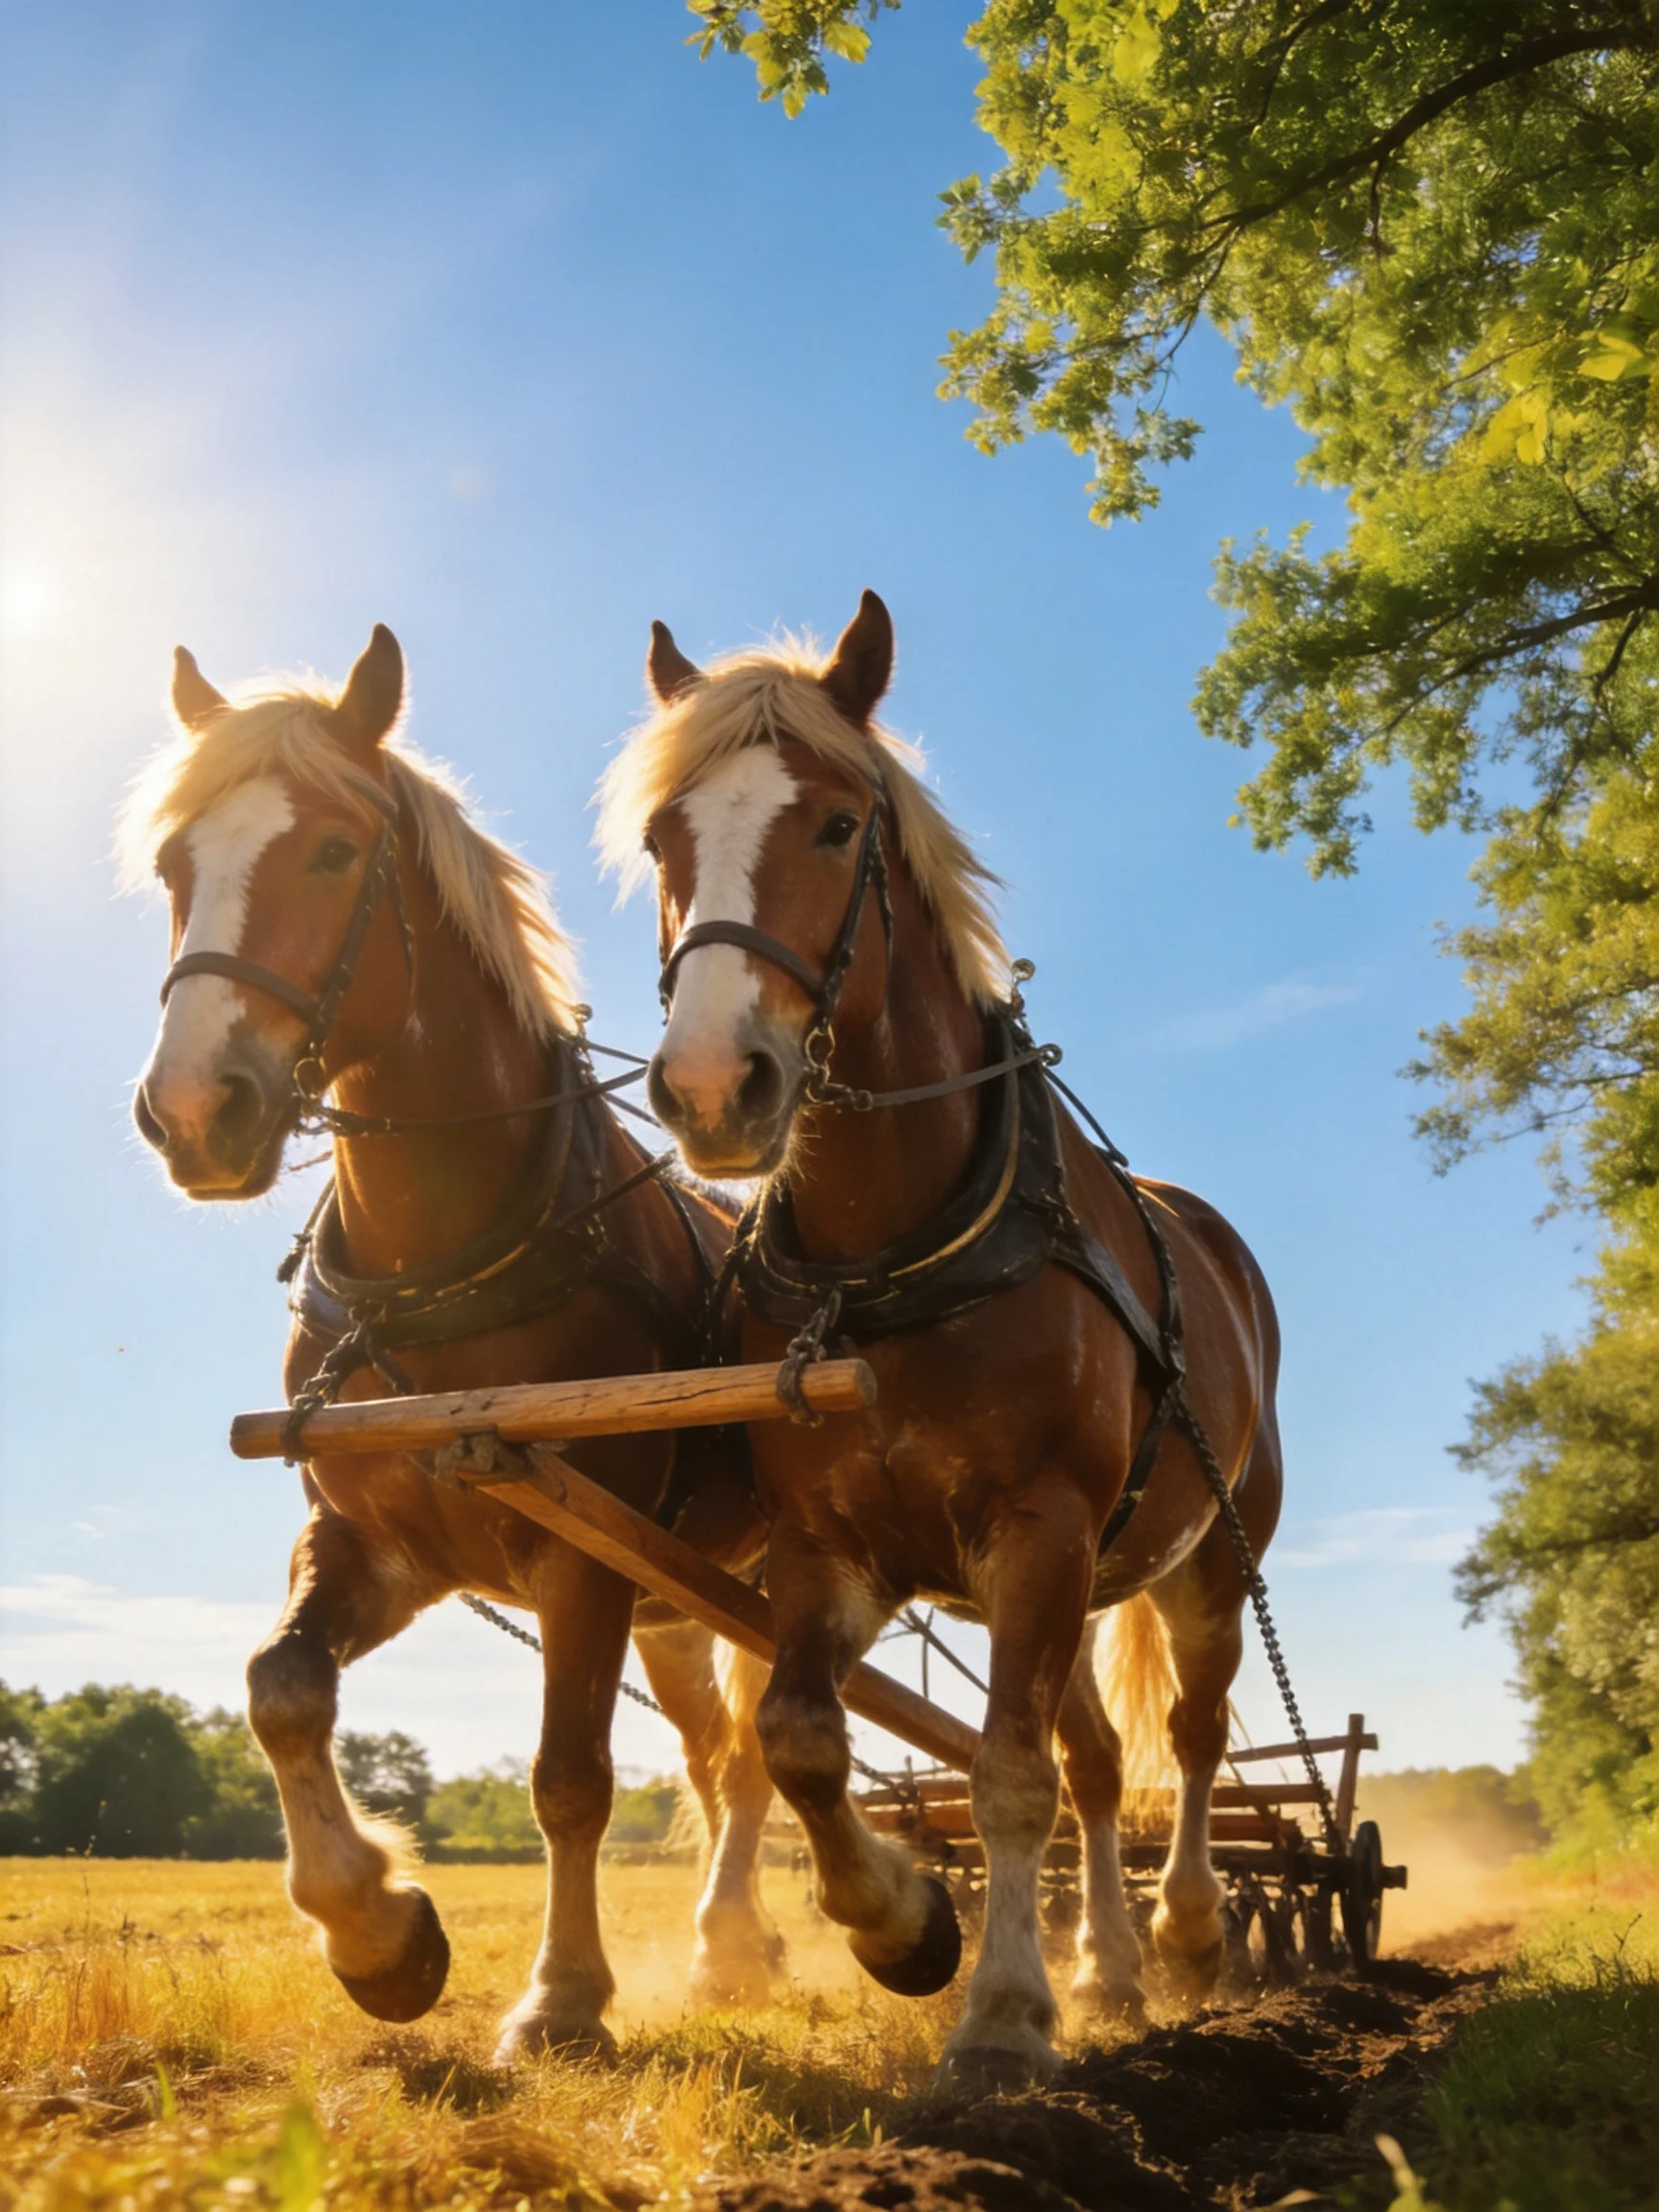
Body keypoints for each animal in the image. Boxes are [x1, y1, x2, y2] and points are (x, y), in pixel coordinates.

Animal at [123, 625, 783, 2059]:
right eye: (172, 866)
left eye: (330, 850)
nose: (193, 1111)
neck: (441, 1271)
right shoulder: (376, 1542)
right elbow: (279, 1686)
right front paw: (377, 1932)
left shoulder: (579, 1560)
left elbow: (568, 1779)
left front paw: (562, 1997)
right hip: (678, 1600)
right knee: (727, 1758)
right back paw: (733, 1946)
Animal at [595, 593, 1285, 2089]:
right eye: (663, 837)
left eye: (839, 825)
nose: (709, 1087)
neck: (887, 1256)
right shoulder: (833, 1548)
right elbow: (799, 1738)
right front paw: (905, 1924)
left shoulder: (1041, 1523)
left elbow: (1006, 1771)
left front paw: (1005, 2015)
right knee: (1100, 1763)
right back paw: (1110, 1967)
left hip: (1204, 1551)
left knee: (1192, 1738)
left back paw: (1190, 1934)